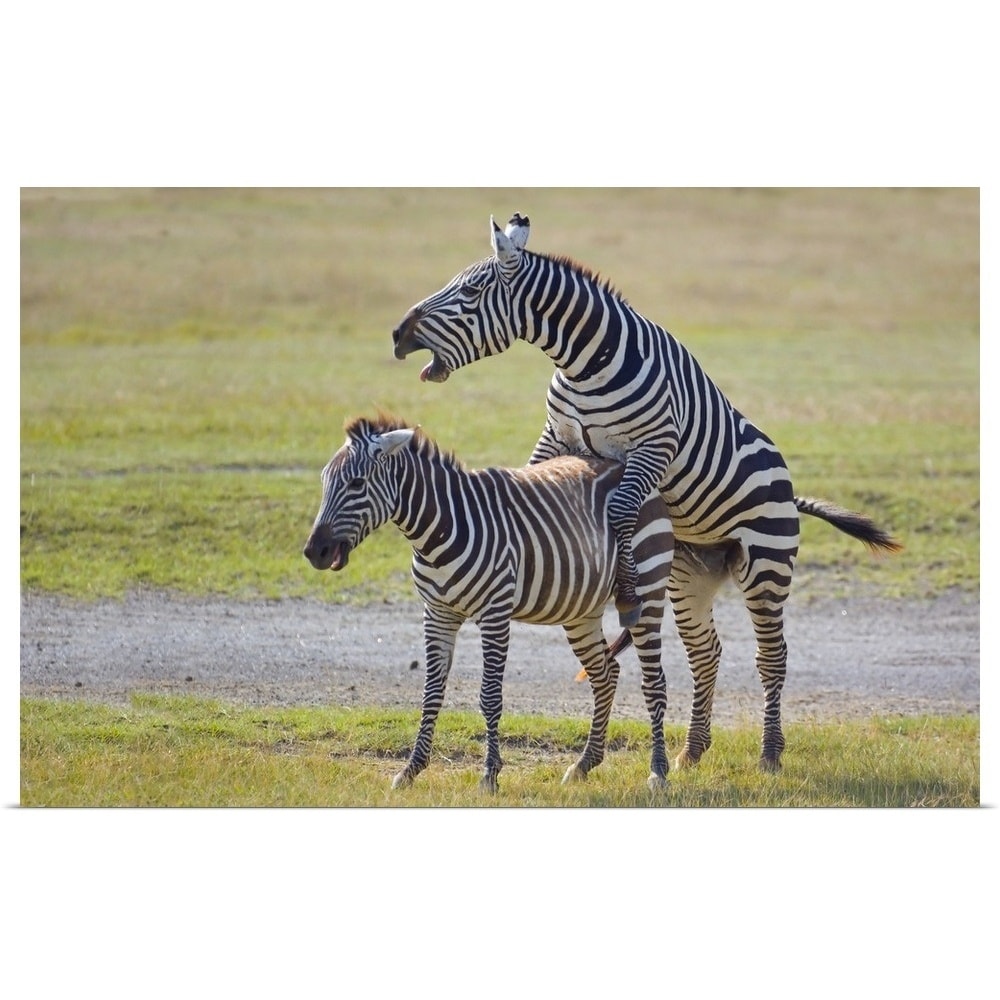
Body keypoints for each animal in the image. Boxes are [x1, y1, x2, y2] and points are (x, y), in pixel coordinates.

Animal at [302, 414, 674, 792]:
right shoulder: (437, 614)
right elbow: (431, 692)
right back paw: (584, 764)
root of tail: (623, 467)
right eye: (324, 481)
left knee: (654, 682)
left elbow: (490, 696)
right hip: (581, 609)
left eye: (357, 483)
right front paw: (410, 770)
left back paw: (658, 771)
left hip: (648, 589)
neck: (439, 530)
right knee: (605, 674)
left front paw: (490, 775)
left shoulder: (494, 614)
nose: (314, 552)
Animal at [391, 213, 903, 772]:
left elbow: (618, 508)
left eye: (472, 291)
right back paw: (692, 751)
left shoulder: (654, 447)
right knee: (707, 652)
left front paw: (627, 590)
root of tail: (790, 489)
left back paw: (769, 754)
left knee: (772, 657)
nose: (397, 333)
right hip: (690, 573)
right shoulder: (557, 436)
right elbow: (531, 480)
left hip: (766, 564)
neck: (585, 364)